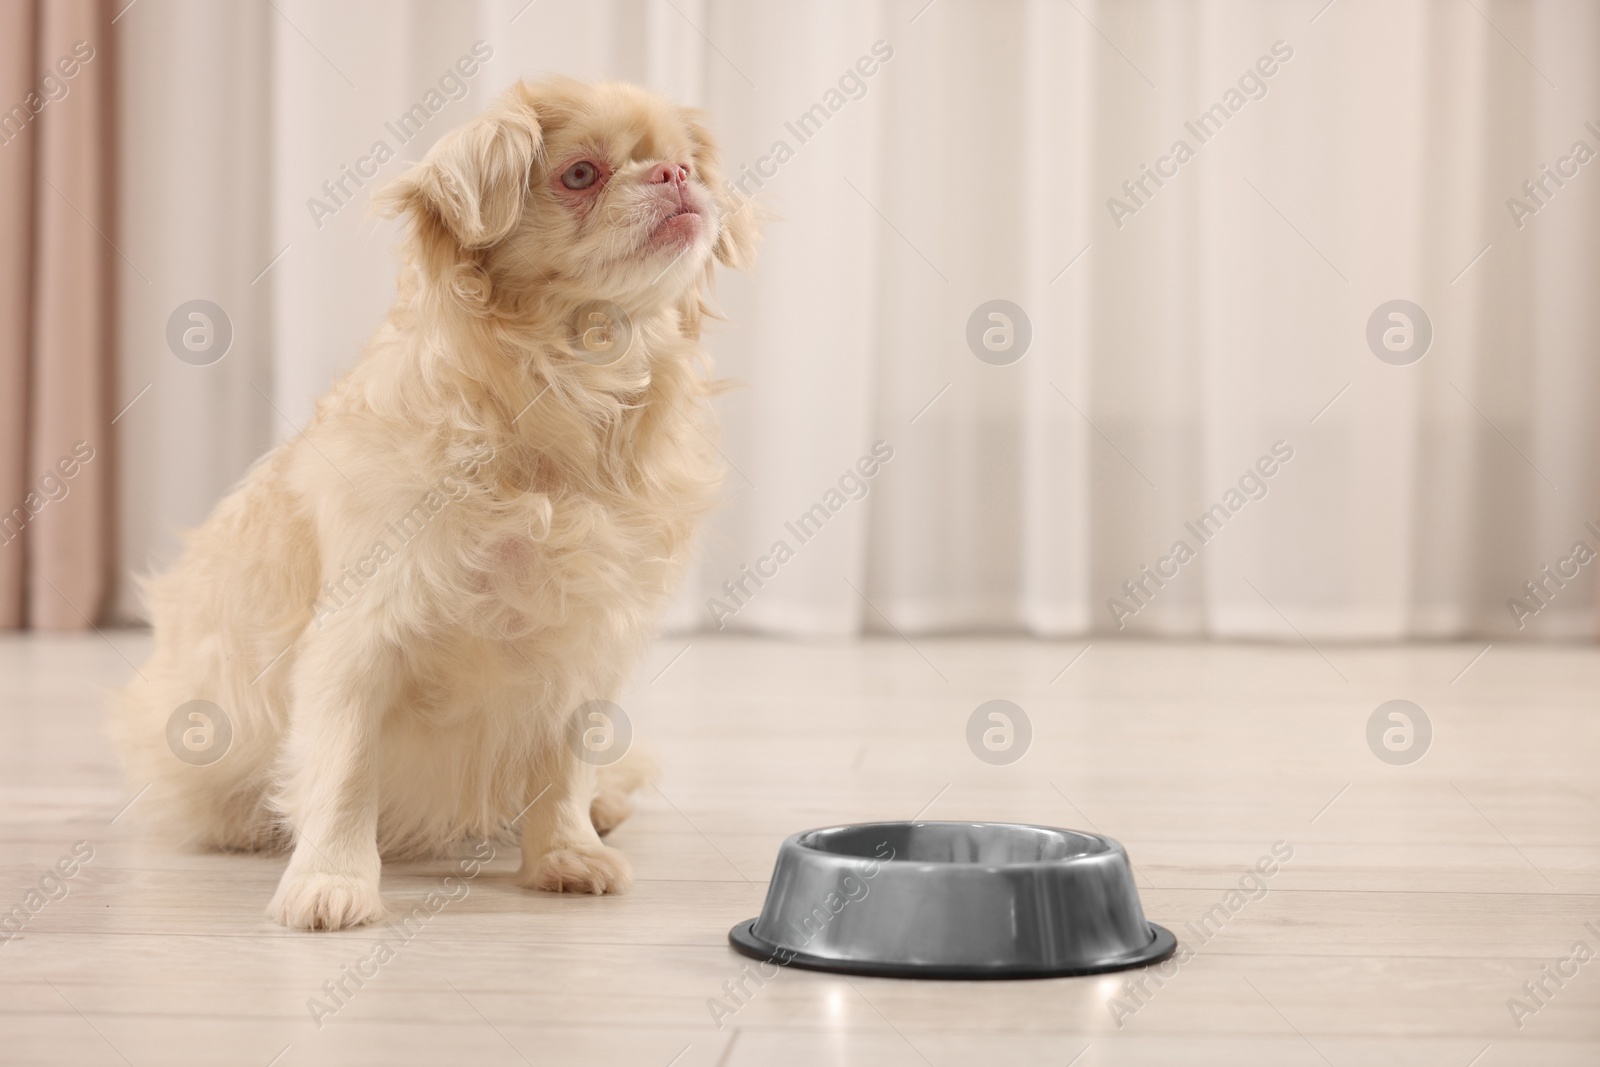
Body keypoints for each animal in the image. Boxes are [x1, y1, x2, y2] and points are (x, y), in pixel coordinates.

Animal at [111, 79, 755, 927]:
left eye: (685, 163)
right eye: (581, 175)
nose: (676, 178)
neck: (571, 387)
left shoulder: (585, 649)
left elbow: (565, 767)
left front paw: (566, 853)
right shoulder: (360, 641)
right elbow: (346, 771)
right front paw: (333, 882)